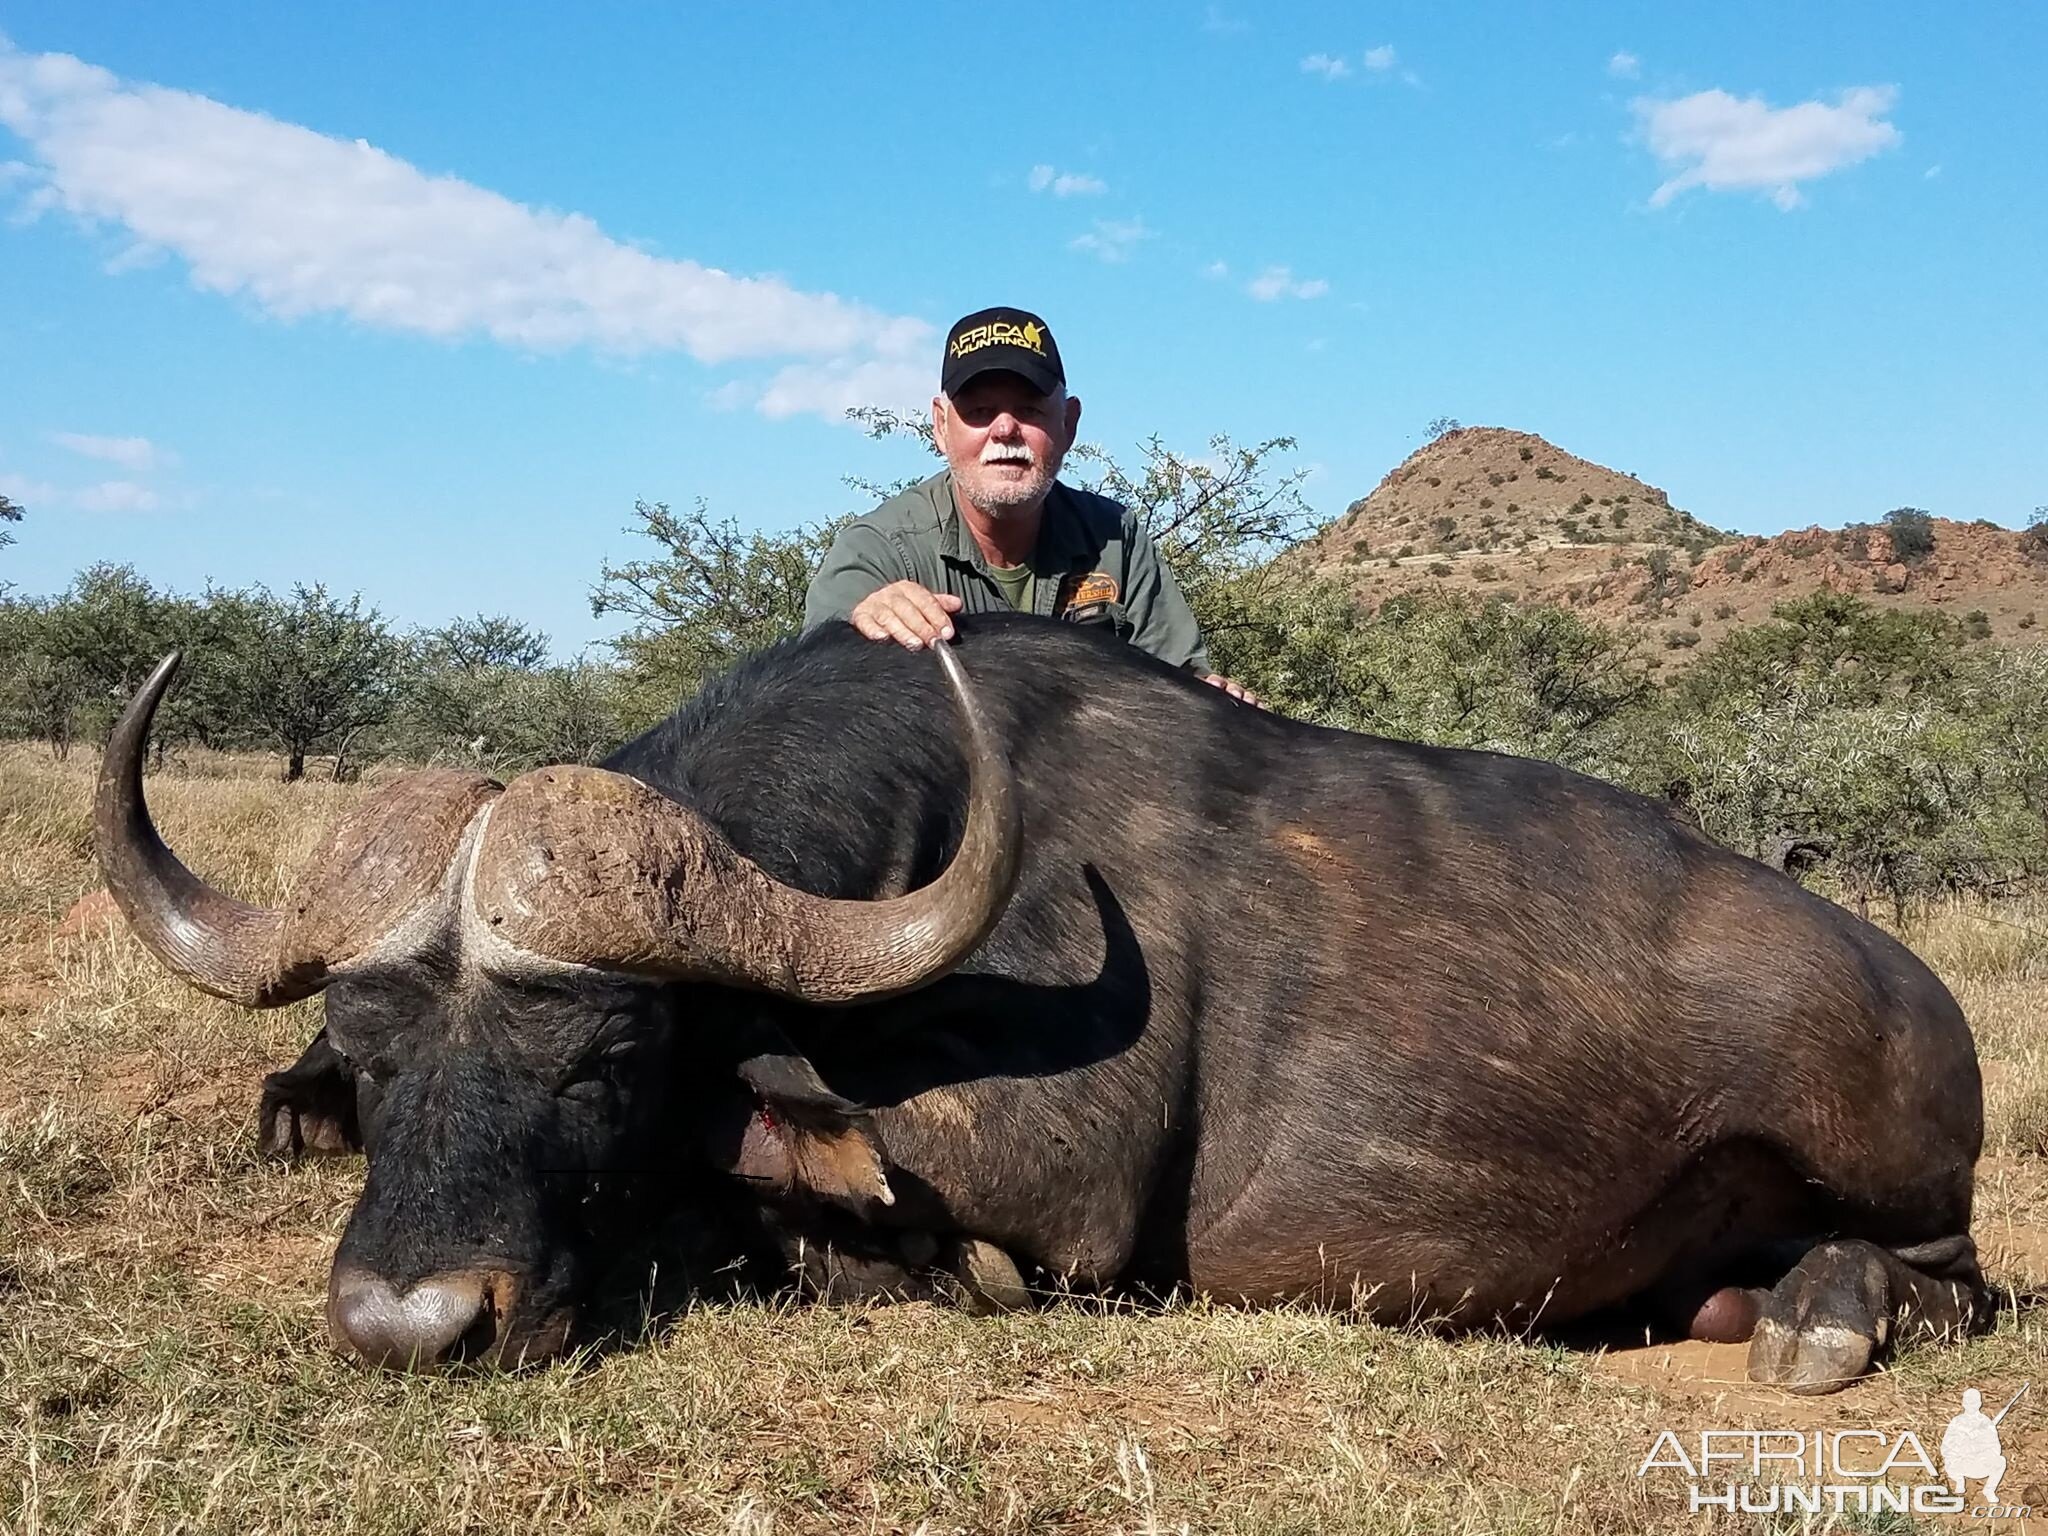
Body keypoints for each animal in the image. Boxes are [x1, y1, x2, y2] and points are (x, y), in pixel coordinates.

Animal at [96, 618, 1982, 1392]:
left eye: (606, 1055)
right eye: (372, 1051)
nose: (413, 1326)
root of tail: (1901, 981)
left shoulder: (1060, 1199)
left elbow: (784, 1189)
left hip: (1897, 1171)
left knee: (1944, 1277)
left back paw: (1817, 1315)